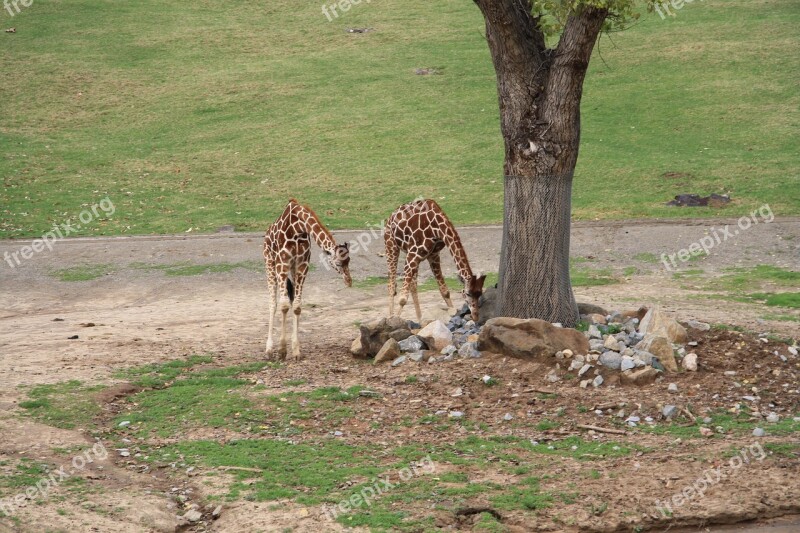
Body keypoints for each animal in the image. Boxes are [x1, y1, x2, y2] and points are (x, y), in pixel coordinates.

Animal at [264, 197, 352, 360]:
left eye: (349, 261)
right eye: (338, 263)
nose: (349, 281)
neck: (297, 227)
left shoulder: (302, 265)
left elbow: (297, 306)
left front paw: (296, 351)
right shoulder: (282, 263)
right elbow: (284, 305)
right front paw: (282, 350)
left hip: (291, 269)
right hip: (270, 263)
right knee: (273, 303)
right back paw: (268, 350)